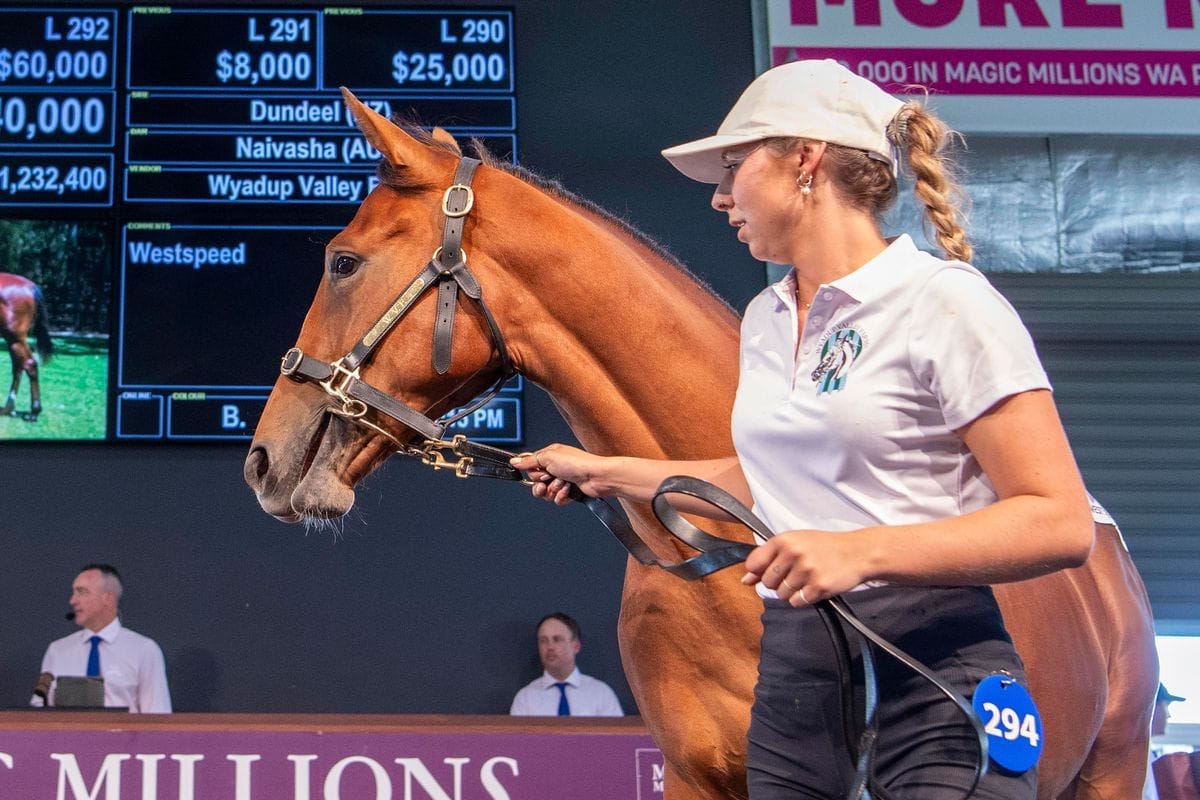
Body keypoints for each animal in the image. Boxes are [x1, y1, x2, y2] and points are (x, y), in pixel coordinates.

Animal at [0, 272, 53, 419]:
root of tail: (30, 286)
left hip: (15, 339)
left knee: (29, 364)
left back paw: (34, 411)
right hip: (13, 341)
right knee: (19, 367)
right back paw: (9, 408)